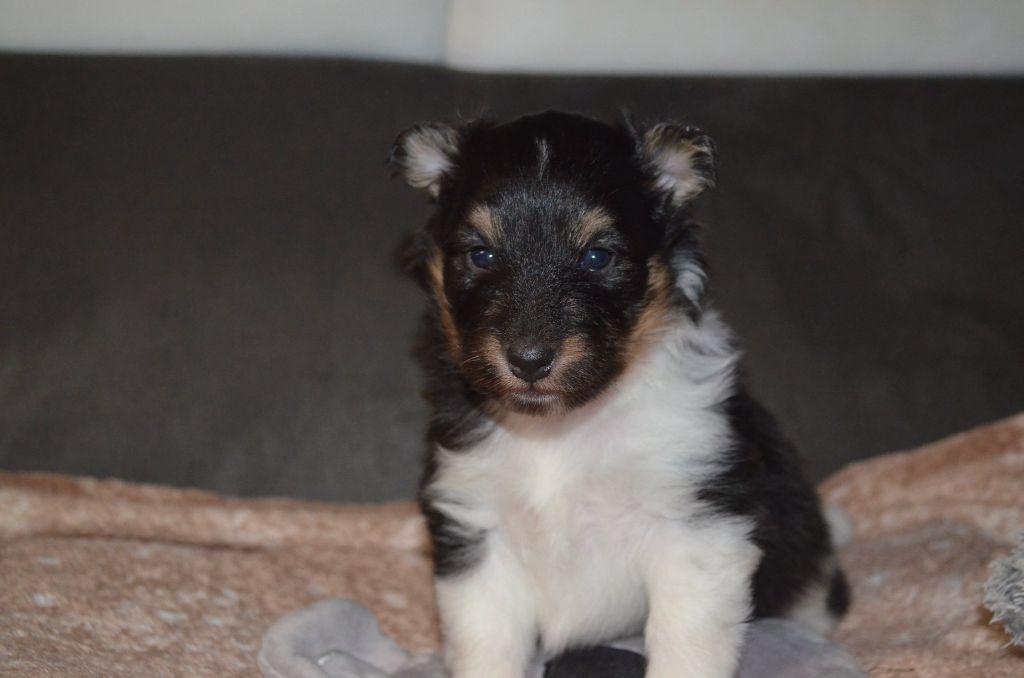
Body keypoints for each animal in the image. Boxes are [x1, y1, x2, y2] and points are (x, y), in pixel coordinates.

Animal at [387, 112, 843, 678]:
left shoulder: (696, 526)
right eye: (481, 254)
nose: (529, 361)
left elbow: (685, 644)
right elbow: (485, 647)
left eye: (597, 256)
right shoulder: (475, 528)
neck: (559, 428)